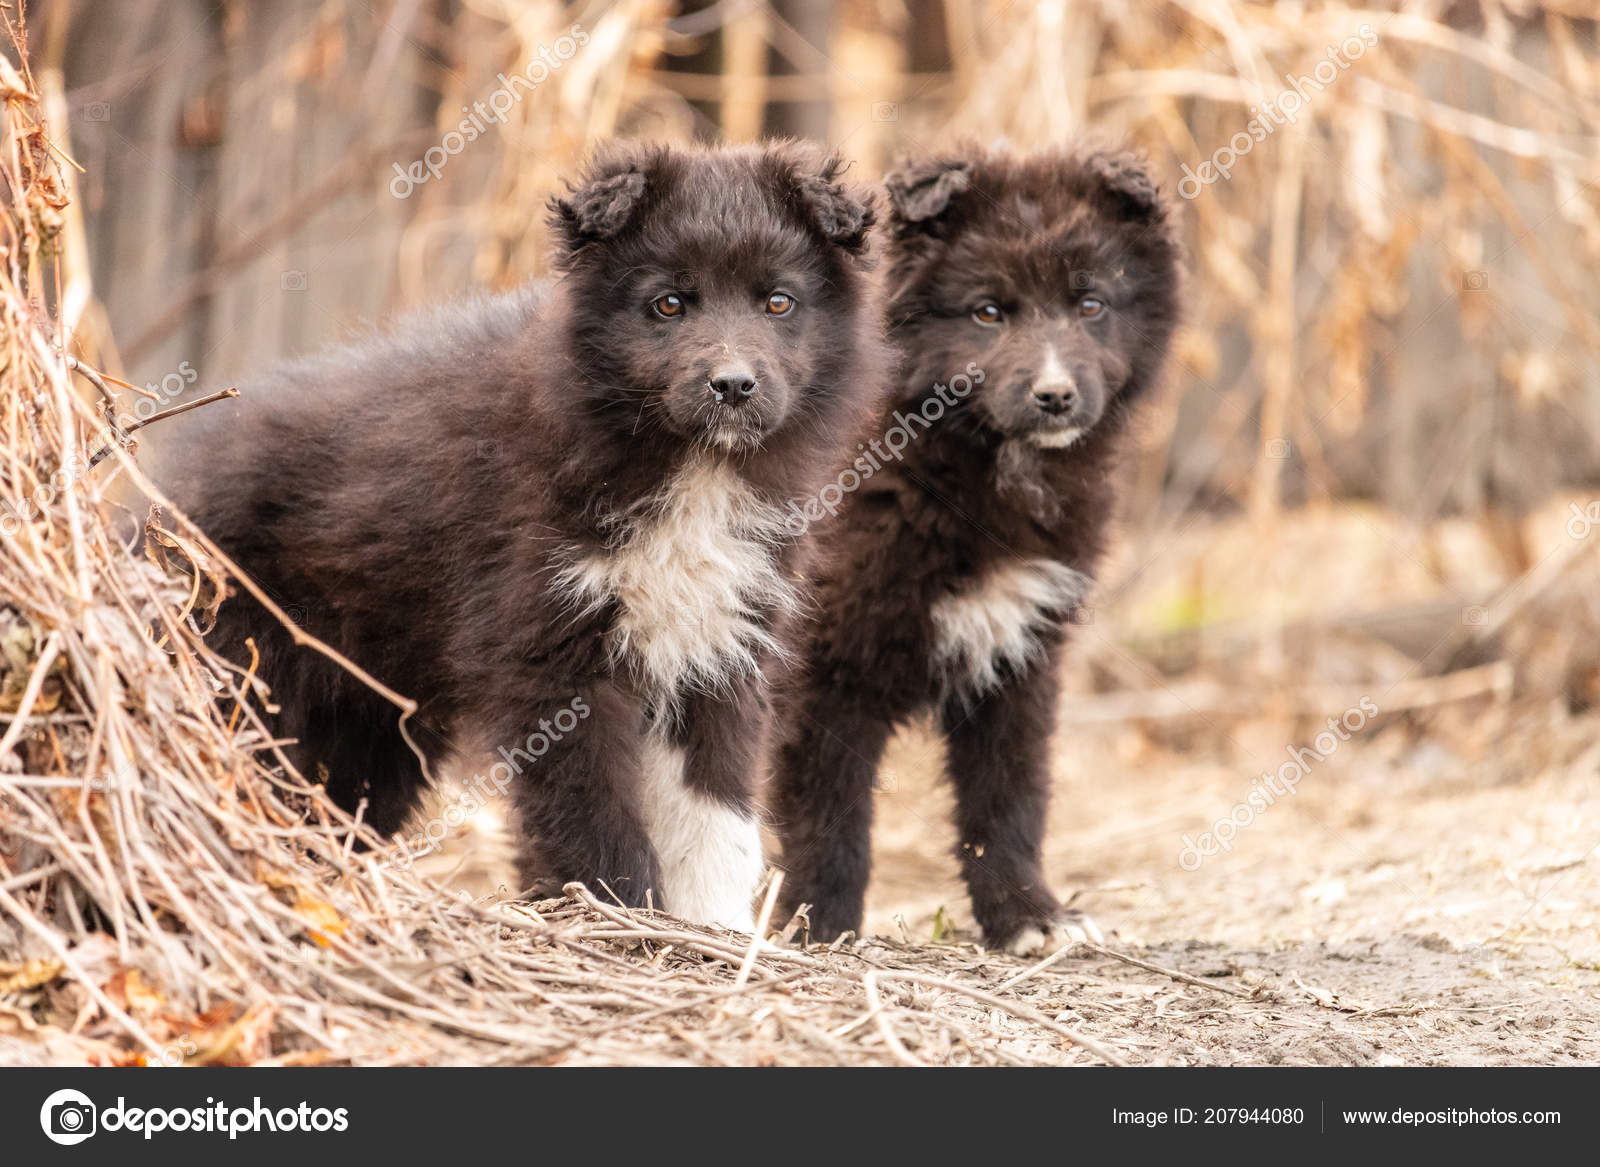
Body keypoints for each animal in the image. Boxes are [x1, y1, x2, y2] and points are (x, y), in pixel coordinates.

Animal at [152, 140, 889, 934]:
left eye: (779, 302)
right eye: (668, 303)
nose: (733, 385)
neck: (691, 466)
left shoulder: (724, 635)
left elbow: (716, 805)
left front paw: (714, 927)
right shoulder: (550, 649)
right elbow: (594, 807)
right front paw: (622, 909)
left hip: (367, 714)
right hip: (241, 663)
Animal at [768, 140, 1184, 954]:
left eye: (1091, 305)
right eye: (988, 312)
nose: (1055, 396)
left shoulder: (1021, 651)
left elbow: (1008, 799)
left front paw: (1029, 916)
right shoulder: (824, 665)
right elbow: (828, 815)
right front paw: (816, 926)